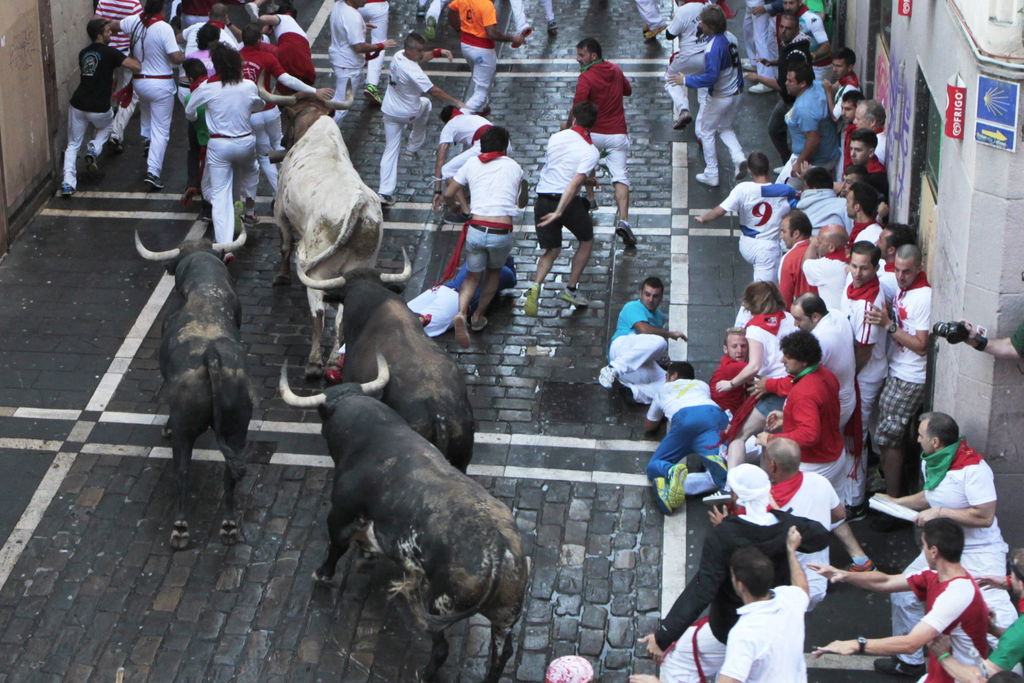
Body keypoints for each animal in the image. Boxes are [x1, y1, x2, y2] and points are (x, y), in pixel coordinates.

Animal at [135, 232, 251, 550]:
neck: (205, 294)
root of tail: (211, 356)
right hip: (238, 429)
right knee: (230, 474)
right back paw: (228, 524)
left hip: (185, 431)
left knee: (183, 472)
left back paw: (180, 527)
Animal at [257, 85, 393, 380]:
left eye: (285, 117)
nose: (283, 141)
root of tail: (359, 203)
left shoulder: (280, 211)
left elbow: (284, 245)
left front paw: (281, 276)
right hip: (360, 263)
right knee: (342, 312)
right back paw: (332, 361)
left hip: (319, 269)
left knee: (318, 310)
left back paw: (314, 363)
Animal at [279, 356, 527, 683]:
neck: (371, 432)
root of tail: (500, 552)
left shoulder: (341, 514)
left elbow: (335, 546)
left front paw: (322, 574)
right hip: (504, 618)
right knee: (502, 654)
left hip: (440, 606)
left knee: (441, 649)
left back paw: (424, 673)